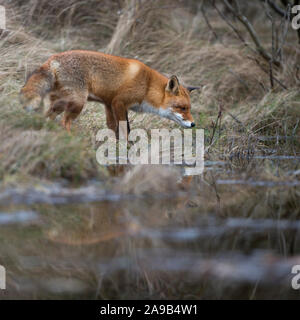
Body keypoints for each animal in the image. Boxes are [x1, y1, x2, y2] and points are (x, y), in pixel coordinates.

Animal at [19, 50, 199, 135]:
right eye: (182, 108)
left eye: (189, 108)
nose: (193, 124)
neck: (147, 86)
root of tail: (53, 59)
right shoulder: (119, 102)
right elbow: (125, 129)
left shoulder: (108, 103)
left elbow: (113, 128)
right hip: (77, 102)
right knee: (64, 122)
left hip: (62, 102)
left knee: (48, 116)